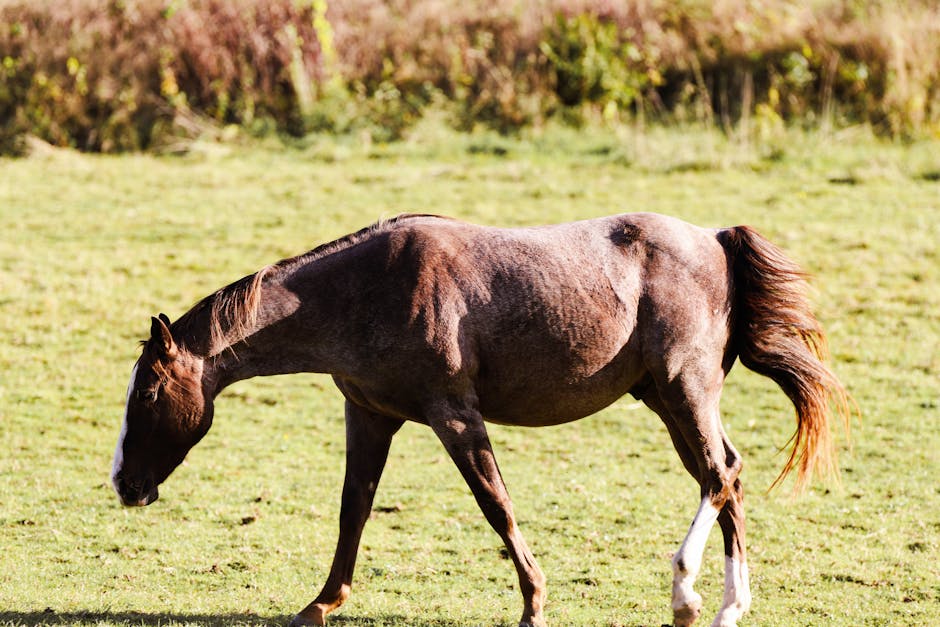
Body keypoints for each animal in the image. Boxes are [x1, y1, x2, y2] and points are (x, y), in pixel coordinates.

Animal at [110, 212, 852, 627]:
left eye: (147, 393)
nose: (123, 483)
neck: (368, 288)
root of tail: (716, 240)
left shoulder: (454, 416)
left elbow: (496, 505)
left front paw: (534, 604)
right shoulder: (369, 415)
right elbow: (354, 510)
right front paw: (320, 605)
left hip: (682, 388)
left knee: (719, 475)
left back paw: (687, 597)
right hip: (668, 399)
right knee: (724, 476)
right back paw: (728, 605)